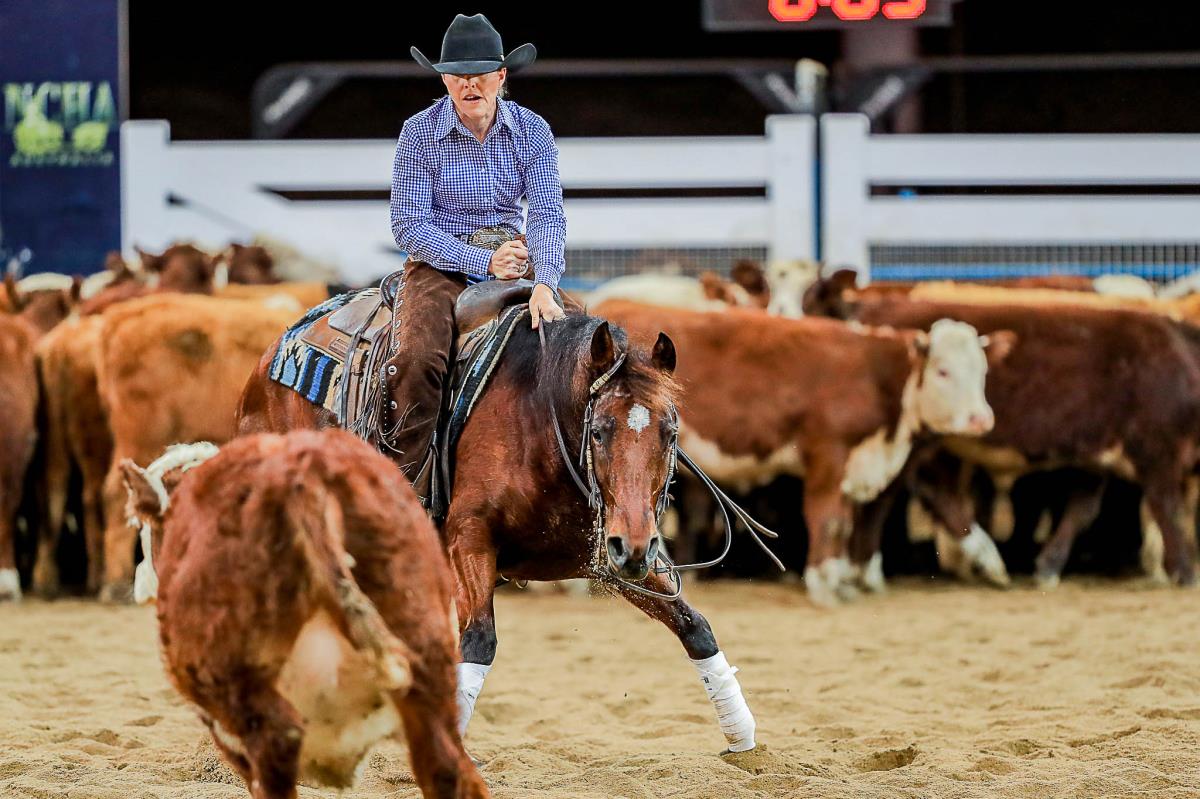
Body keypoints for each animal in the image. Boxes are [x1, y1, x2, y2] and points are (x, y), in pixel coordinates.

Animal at [121, 430, 488, 799]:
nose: (140, 578)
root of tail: (304, 471)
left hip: (231, 683)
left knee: (278, 741)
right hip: (428, 664)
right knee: (450, 770)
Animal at [237, 307, 764, 755]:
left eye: (670, 433)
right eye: (599, 431)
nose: (635, 545)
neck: (541, 427)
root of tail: (269, 360)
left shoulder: (610, 553)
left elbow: (694, 626)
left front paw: (742, 736)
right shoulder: (468, 540)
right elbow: (477, 641)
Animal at [593, 300, 1006, 606]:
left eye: (983, 371)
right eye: (943, 372)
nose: (982, 419)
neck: (872, 372)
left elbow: (846, 522)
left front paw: (840, 580)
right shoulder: (829, 455)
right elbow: (829, 520)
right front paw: (823, 583)